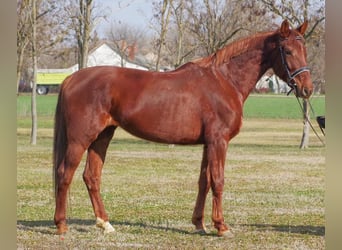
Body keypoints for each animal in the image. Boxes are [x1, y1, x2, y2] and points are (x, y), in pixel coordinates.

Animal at [52, 20, 312, 237]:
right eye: (288, 51)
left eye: (305, 50)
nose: (307, 88)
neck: (224, 80)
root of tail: (71, 79)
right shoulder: (219, 141)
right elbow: (218, 180)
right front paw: (221, 227)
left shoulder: (208, 144)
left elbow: (204, 181)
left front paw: (199, 224)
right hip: (80, 139)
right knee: (65, 173)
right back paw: (62, 225)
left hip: (102, 136)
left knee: (91, 176)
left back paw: (105, 223)